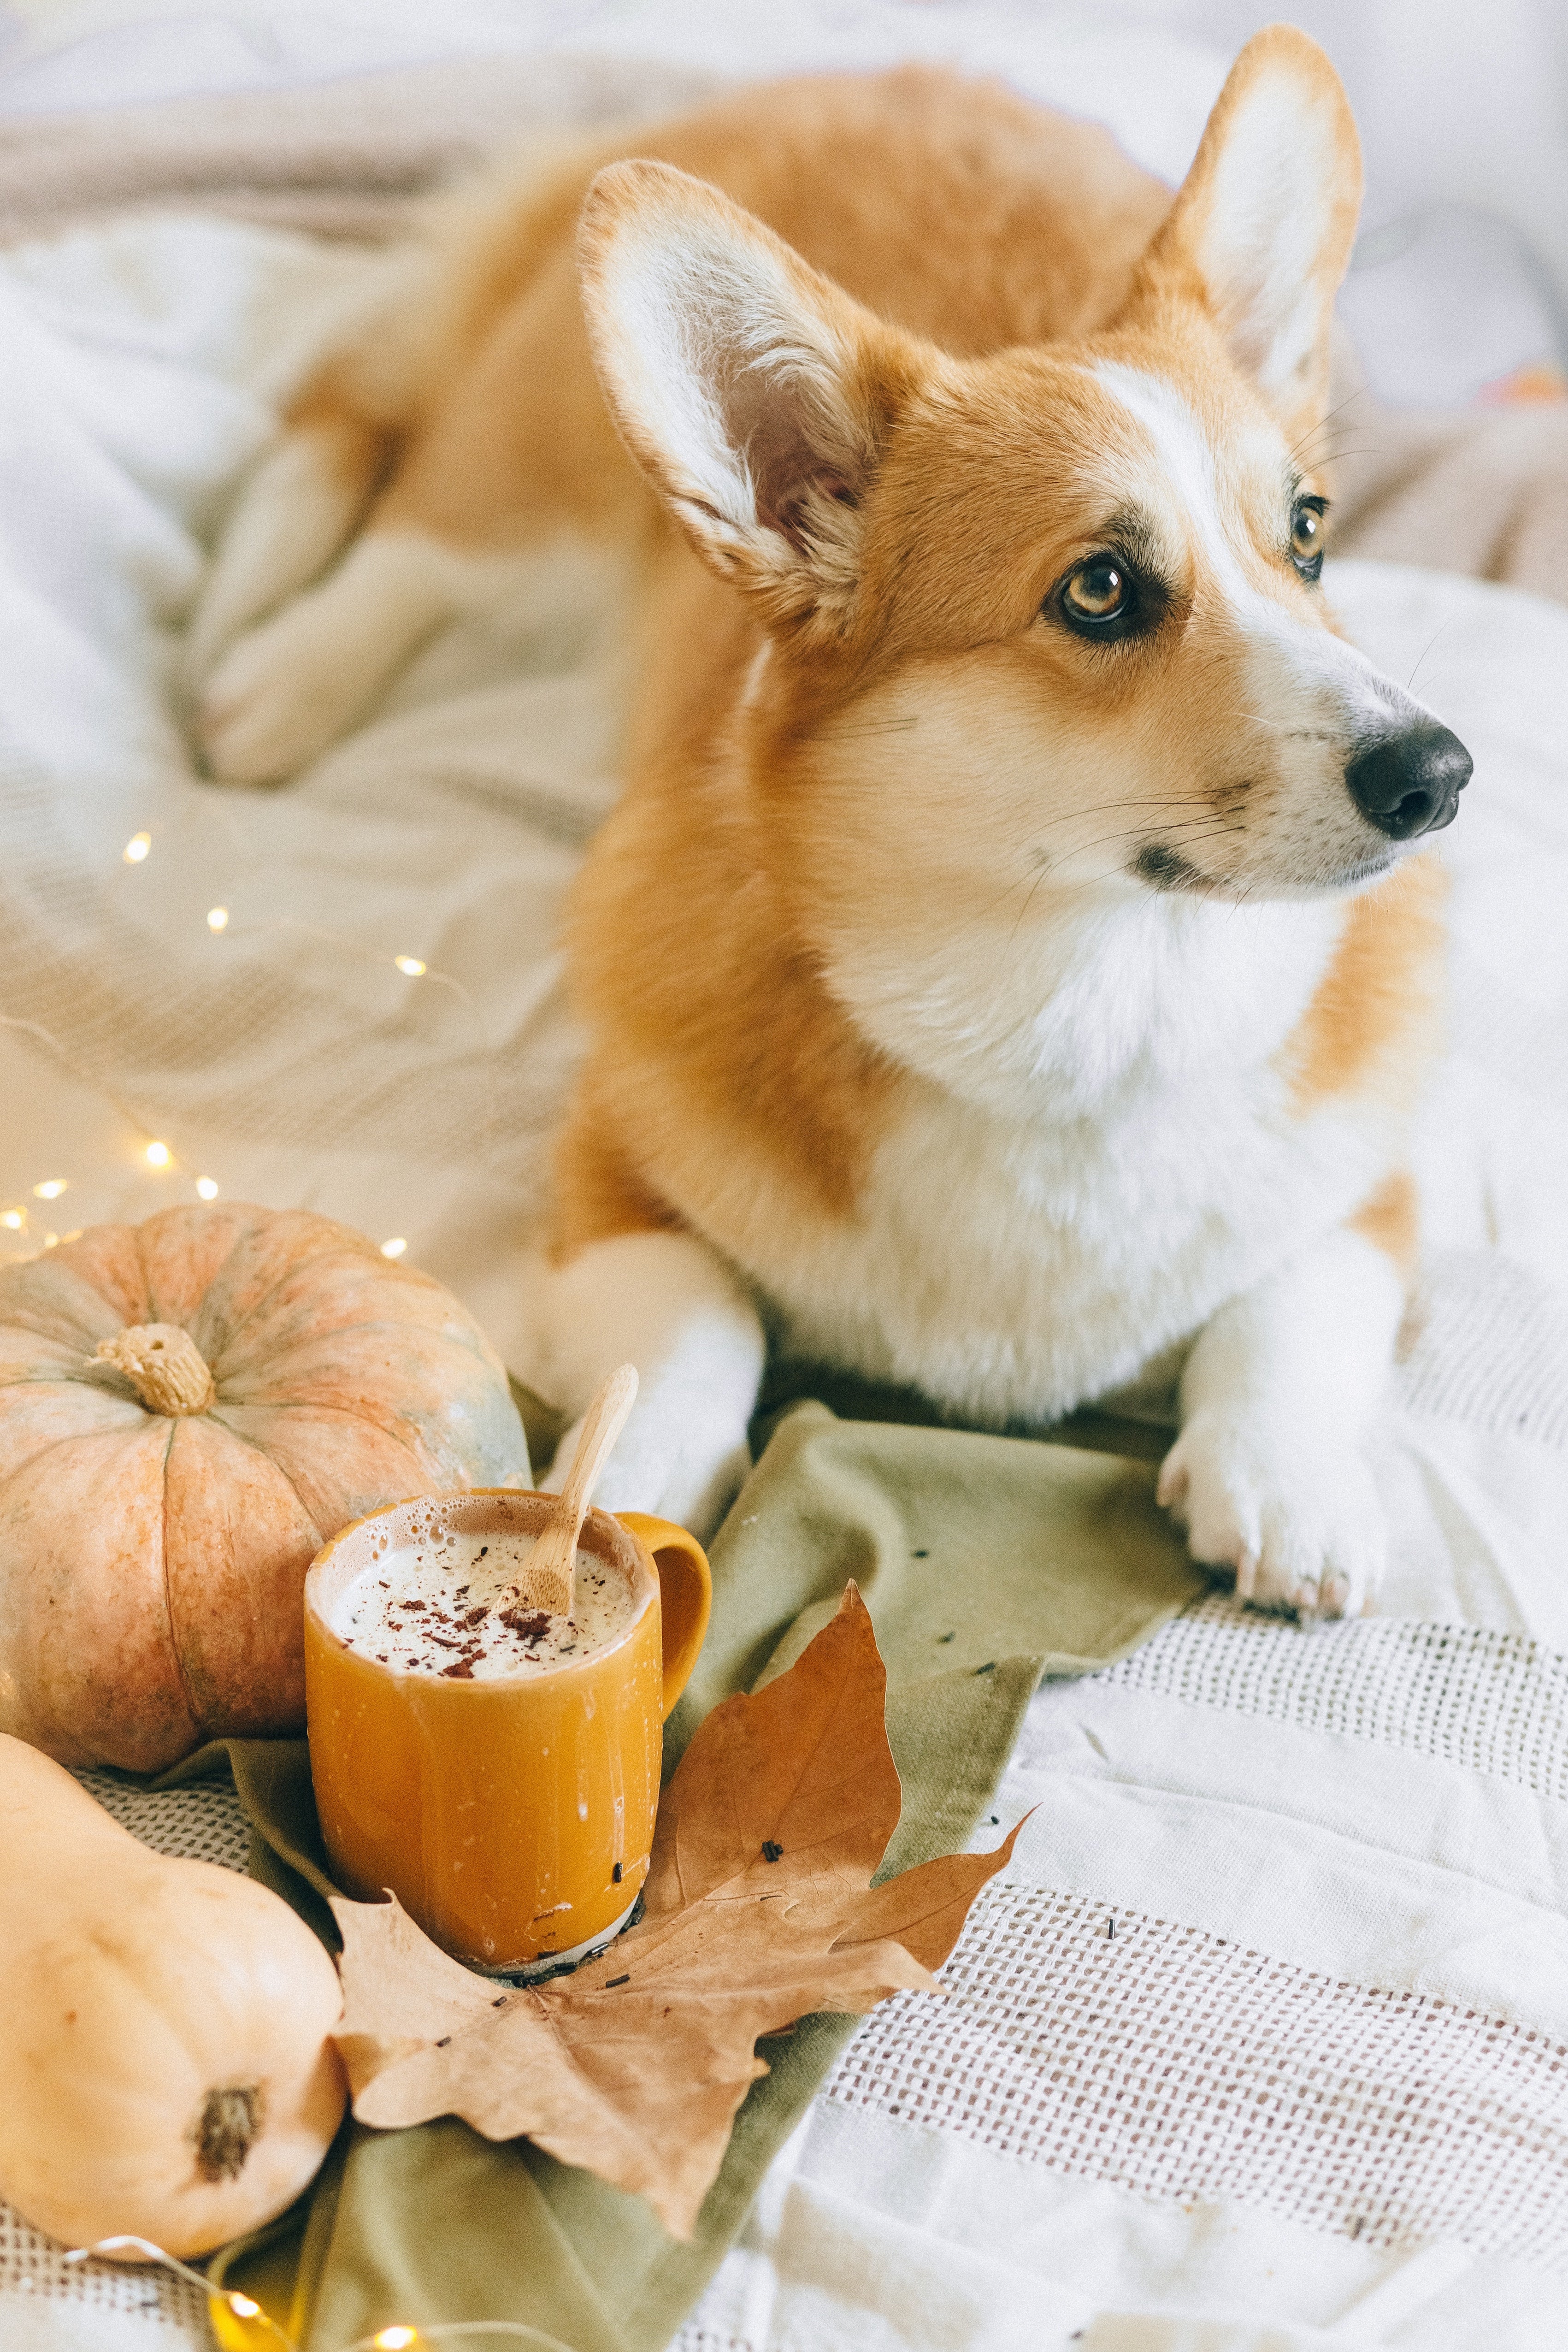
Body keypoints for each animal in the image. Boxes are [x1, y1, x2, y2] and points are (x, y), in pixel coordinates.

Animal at [193, 32, 1476, 1618]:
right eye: (1100, 589)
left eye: (1307, 533)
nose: (1439, 772)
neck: (1089, 999)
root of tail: (847, 71)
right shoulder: (612, 1167)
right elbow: (695, 1319)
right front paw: (623, 1471)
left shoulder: (1375, 1191)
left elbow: (1294, 1307)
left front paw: (1288, 1482)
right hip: (532, 486)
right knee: (407, 537)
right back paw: (274, 682)